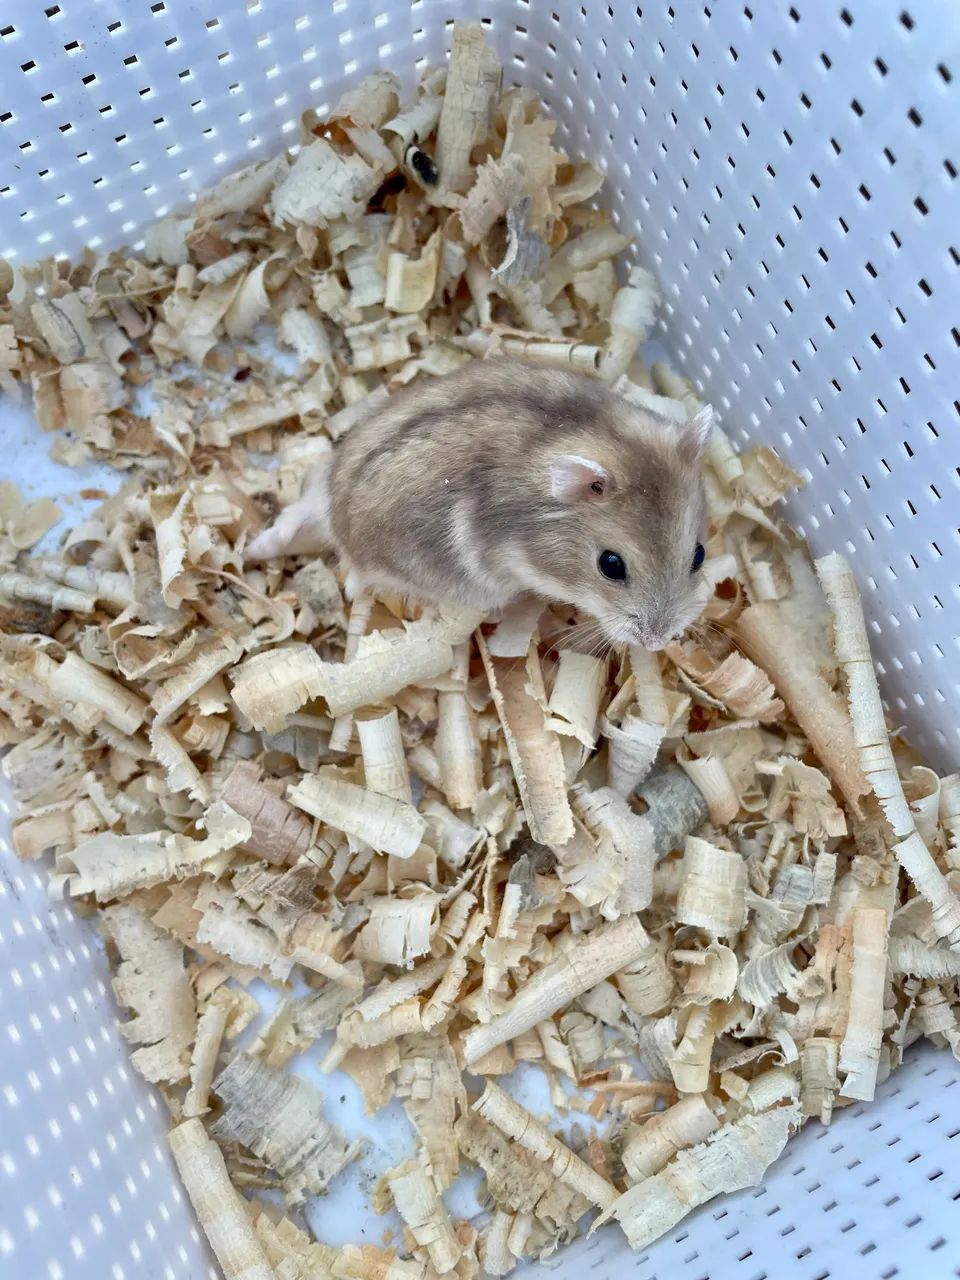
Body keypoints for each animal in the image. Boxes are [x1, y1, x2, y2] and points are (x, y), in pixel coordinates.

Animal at [247, 358, 713, 650]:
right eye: (611, 565)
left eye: (700, 555)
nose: (658, 643)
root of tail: (337, 525)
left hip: (320, 477)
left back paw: (253, 549)